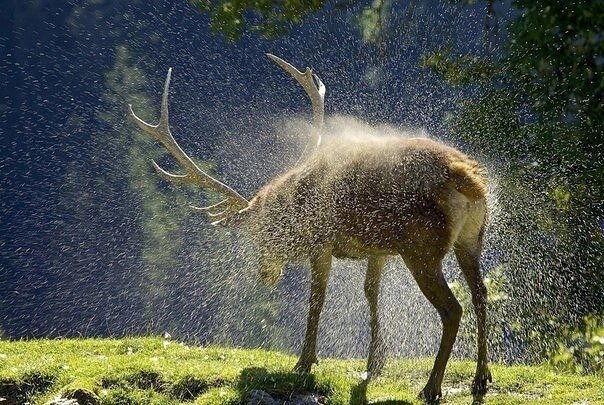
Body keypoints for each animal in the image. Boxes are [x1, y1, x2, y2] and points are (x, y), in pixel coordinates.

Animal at [130, 54, 494, 400]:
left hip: (422, 248)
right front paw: (375, 362)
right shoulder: (378, 248)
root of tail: (468, 179)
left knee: (453, 309)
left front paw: (305, 361)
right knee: (480, 293)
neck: (297, 203)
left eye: (260, 231)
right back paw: (480, 378)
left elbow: (317, 299)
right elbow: (371, 292)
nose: (264, 274)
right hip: (470, 239)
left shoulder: (322, 242)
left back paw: (432, 387)